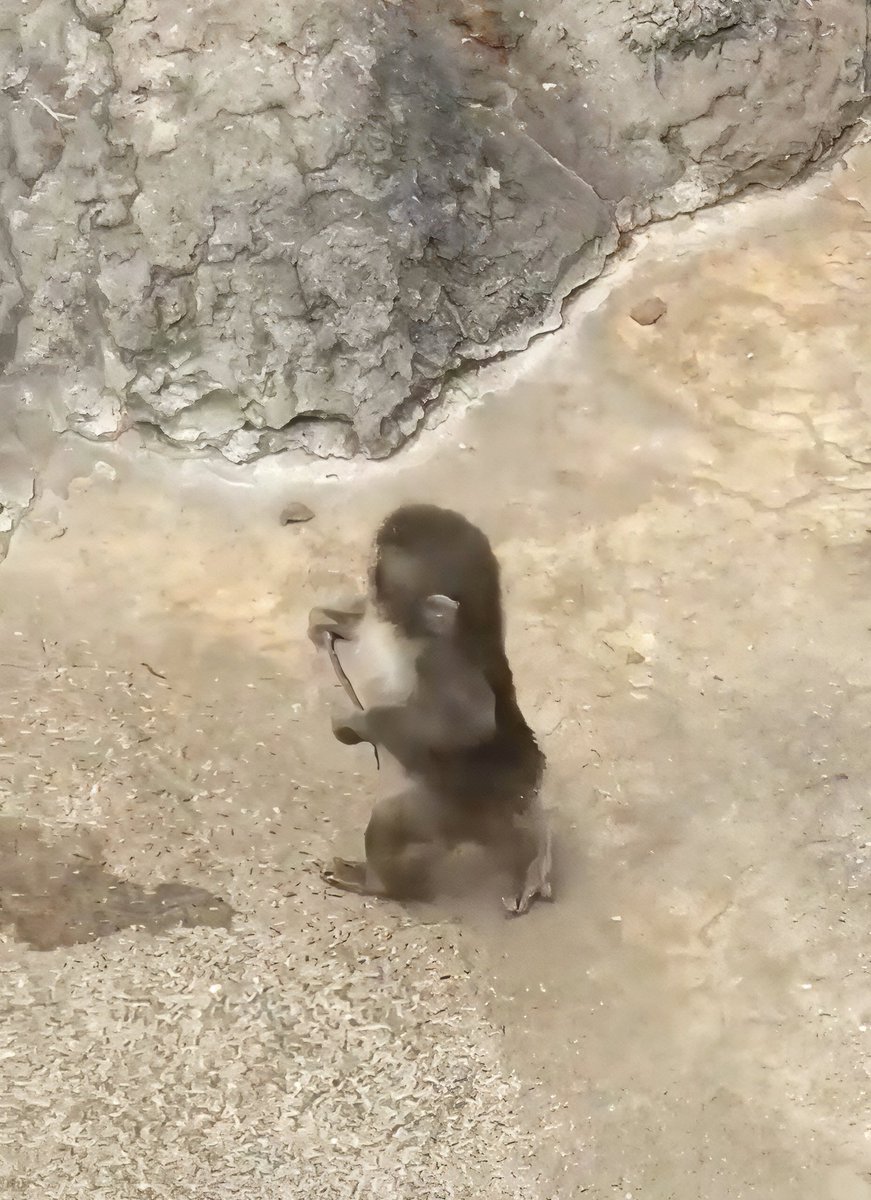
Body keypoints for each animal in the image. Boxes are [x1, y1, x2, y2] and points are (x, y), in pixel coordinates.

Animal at [307, 503, 552, 916]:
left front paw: (355, 722)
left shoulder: (441, 661)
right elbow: (345, 622)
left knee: (392, 819)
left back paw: (375, 882)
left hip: (440, 810)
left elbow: (470, 724)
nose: (367, 566)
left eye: (379, 567)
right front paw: (321, 625)